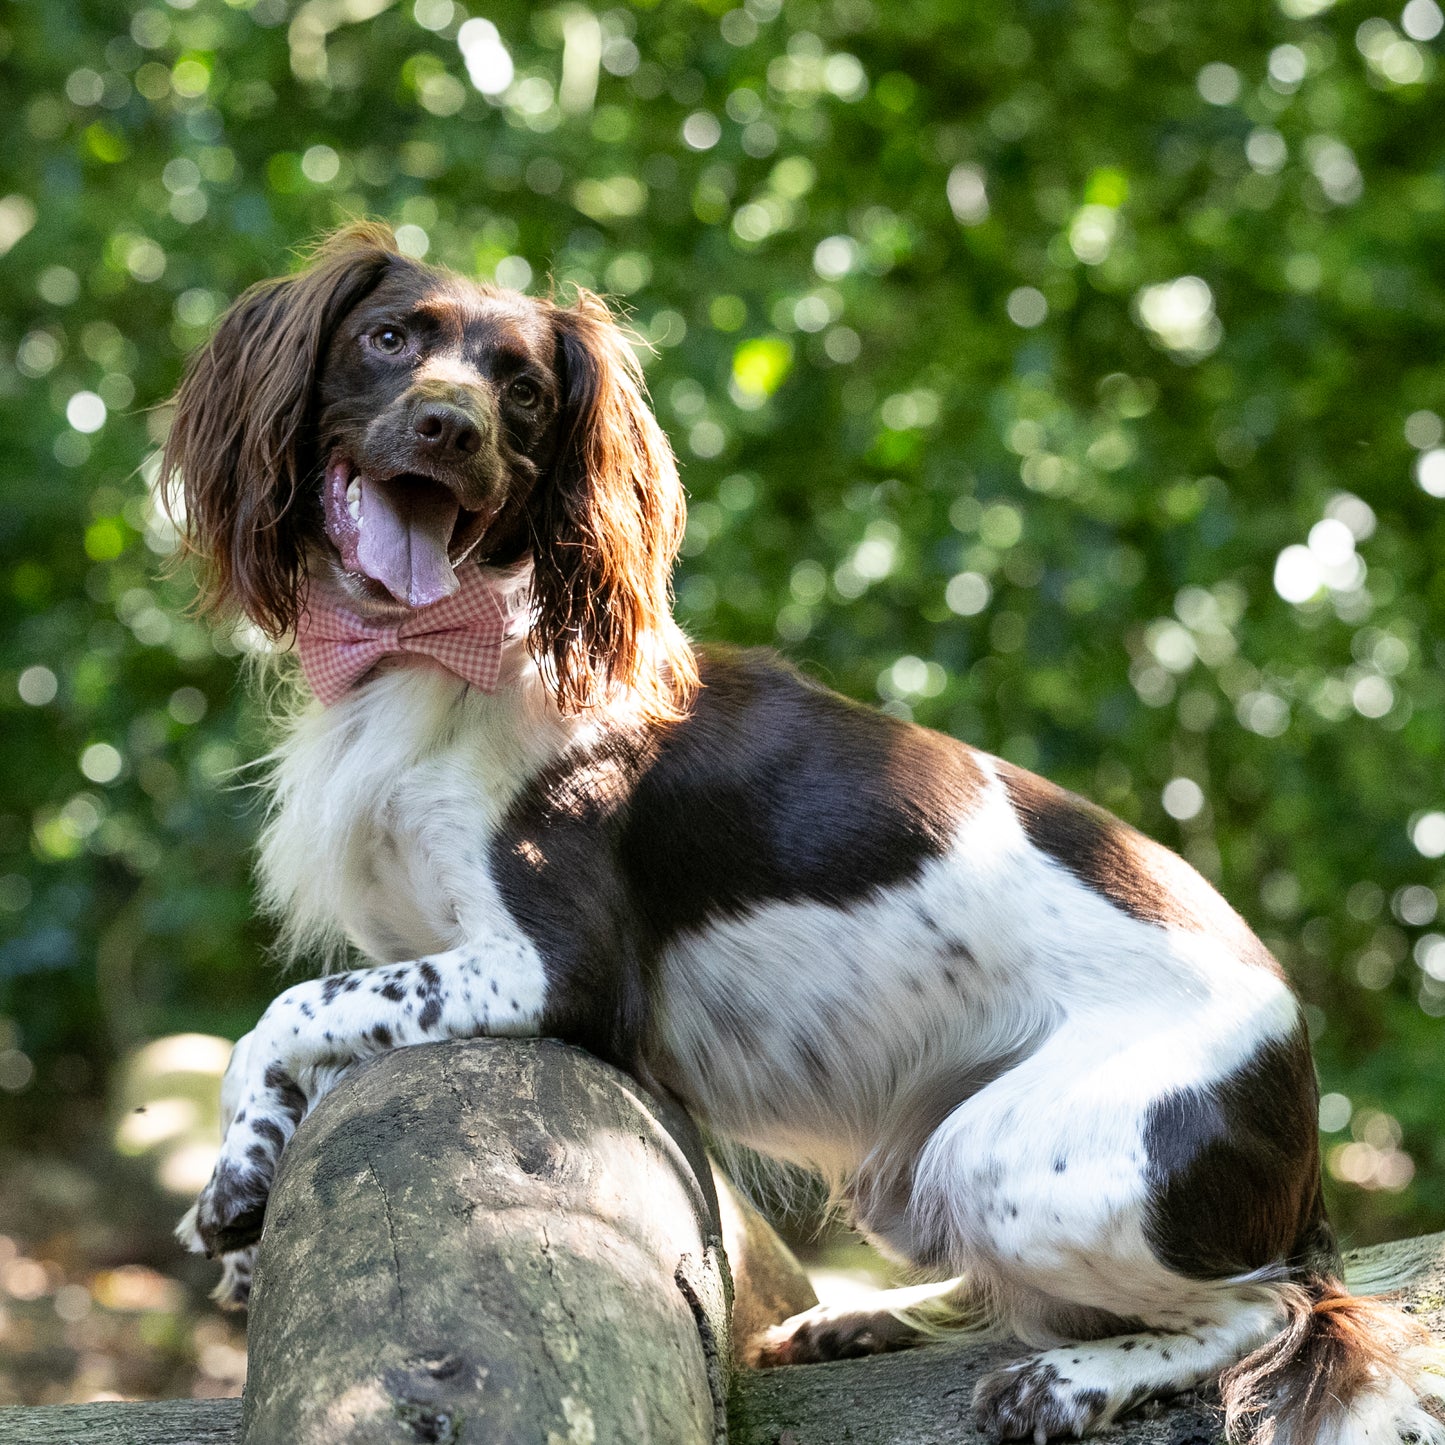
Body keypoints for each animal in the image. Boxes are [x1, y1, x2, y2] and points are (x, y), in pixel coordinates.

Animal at [166, 225, 1433, 1445]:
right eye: (386, 336)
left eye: (521, 389)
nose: (450, 425)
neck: (429, 654)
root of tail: (1297, 1090)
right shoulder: (426, 949)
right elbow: (319, 1039)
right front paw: (245, 1188)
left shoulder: (555, 968)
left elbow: (291, 1008)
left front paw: (236, 1172)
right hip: (919, 1171)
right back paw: (859, 1319)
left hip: (1013, 1159)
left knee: (1270, 1307)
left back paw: (1066, 1383)